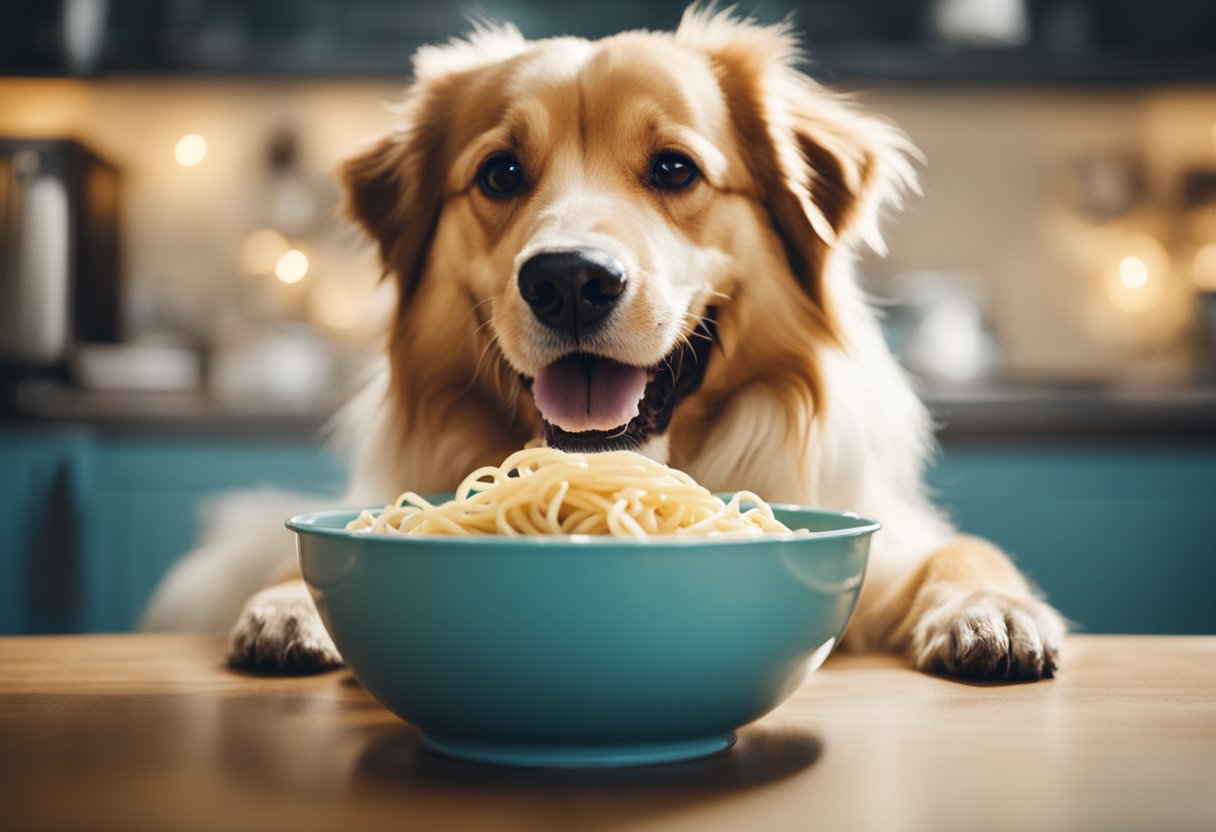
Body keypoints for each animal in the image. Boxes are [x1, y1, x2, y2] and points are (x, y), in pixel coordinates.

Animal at [142, 6, 1065, 681]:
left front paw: (993, 611)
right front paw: (290, 603)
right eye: (501, 174)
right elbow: (297, 562)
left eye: (674, 169)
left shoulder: (896, 536)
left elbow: (967, 549)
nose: (570, 281)